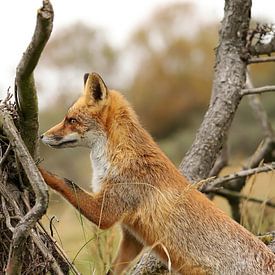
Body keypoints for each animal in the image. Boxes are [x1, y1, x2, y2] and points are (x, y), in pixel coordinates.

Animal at [40, 72, 275, 274]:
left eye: (71, 120)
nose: (41, 136)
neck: (118, 156)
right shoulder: (132, 236)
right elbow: (113, 269)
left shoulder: (107, 211)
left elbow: (64, 181)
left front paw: (37, 167)